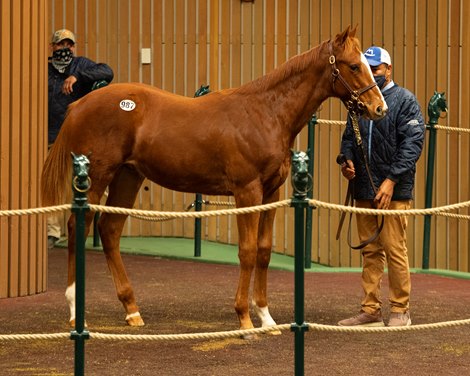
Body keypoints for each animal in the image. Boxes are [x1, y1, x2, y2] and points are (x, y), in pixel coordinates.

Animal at [41, 25, 386, 332]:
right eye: (354, 65)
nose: (379, 108)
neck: (265, 114)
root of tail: (79, 104)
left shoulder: (271, 193)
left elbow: (264, 251)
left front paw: (267, 318)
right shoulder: (247, 192)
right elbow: (247, 251)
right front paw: (244, 318)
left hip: (129, 176)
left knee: (110, 231)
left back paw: (132, 310)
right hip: (97, 176)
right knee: (78, 227)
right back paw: (75, 311)